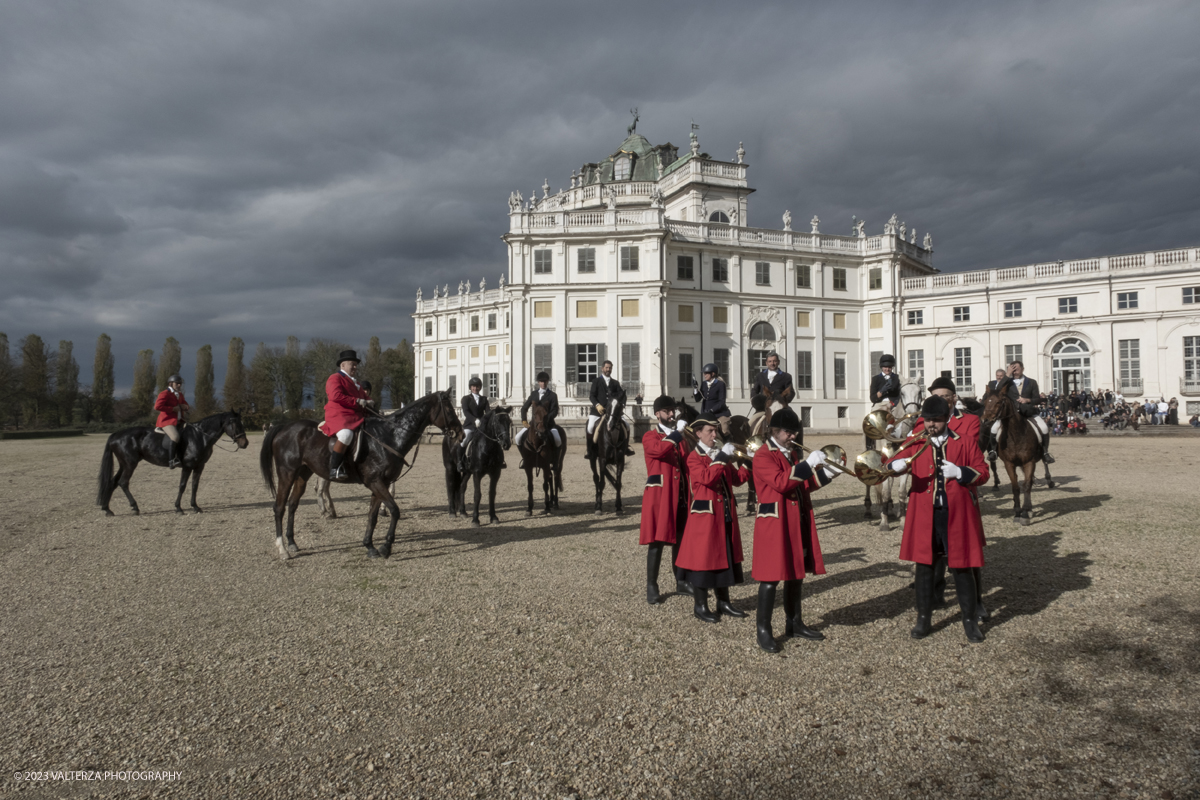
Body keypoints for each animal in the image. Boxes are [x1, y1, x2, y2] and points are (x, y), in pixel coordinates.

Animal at [98, 410, 250, 515]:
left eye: (242, 423)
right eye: (234, 423)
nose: (245, 443)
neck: (199, 436)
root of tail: (116, 434)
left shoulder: (199, 466)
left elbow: (195, 485)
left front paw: (195, 506)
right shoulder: (187, 466)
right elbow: (182, 486)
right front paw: (178, 508)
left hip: (124, 464)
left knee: (113, 482)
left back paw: (107, 509)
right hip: (130, 464)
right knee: (123, 482)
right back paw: (135, 507)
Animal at [260, 391, 460, 561]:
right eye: (449, 409)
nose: (459, 432)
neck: (389, 435)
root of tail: (284, 427)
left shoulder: (381, 484)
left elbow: (373, 516)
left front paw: (370, 546)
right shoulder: (375, 482)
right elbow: (395, 510)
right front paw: (386, 547)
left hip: (303, 474)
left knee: (293, 505)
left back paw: (292, 542)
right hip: (286, 473)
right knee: (279, 507)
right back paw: (283, 549)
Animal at [979, 381, 1056, 525]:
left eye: (999, 402)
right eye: (985, 401)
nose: (985, 420)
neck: (1015, 435)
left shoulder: (1029, 462)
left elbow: (1026, 486)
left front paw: (1024, 513)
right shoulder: (1009, 463)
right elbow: (1015, 487)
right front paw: (1017, 511)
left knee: (1043, 465)